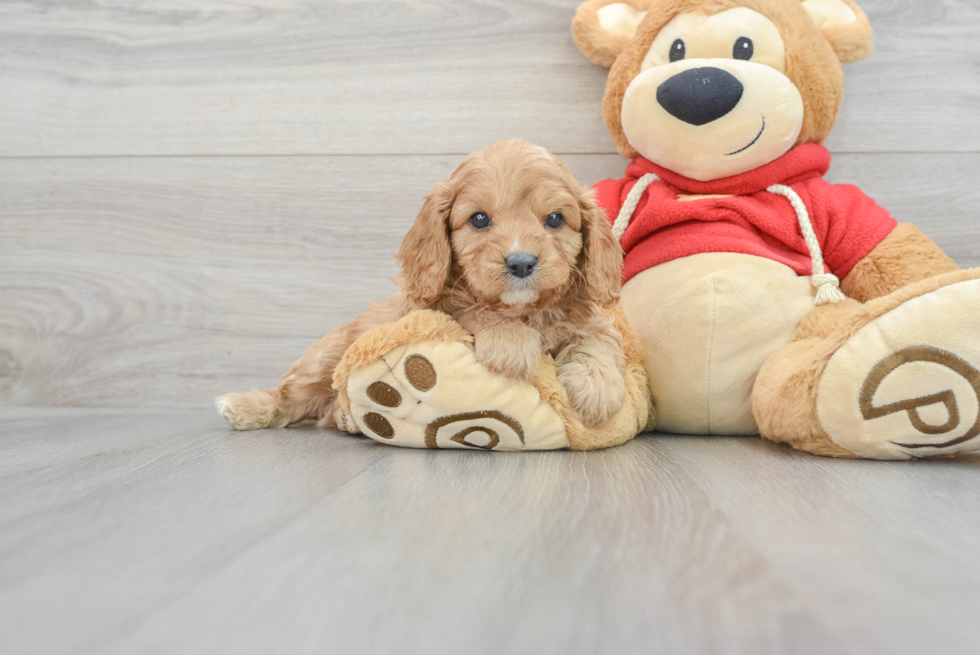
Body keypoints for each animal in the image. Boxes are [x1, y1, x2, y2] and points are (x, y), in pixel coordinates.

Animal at [216, 140, 628, 430]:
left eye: (555, 219)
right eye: (479, 219)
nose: (521, 262)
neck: (523, 310)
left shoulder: (591, 320)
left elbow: (597, 340)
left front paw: (598, 389)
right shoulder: (433, 306)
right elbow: (469, 307)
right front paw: (510, 343)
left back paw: (344, 417)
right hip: (323, 358)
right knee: (290, 397)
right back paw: (245, 407)